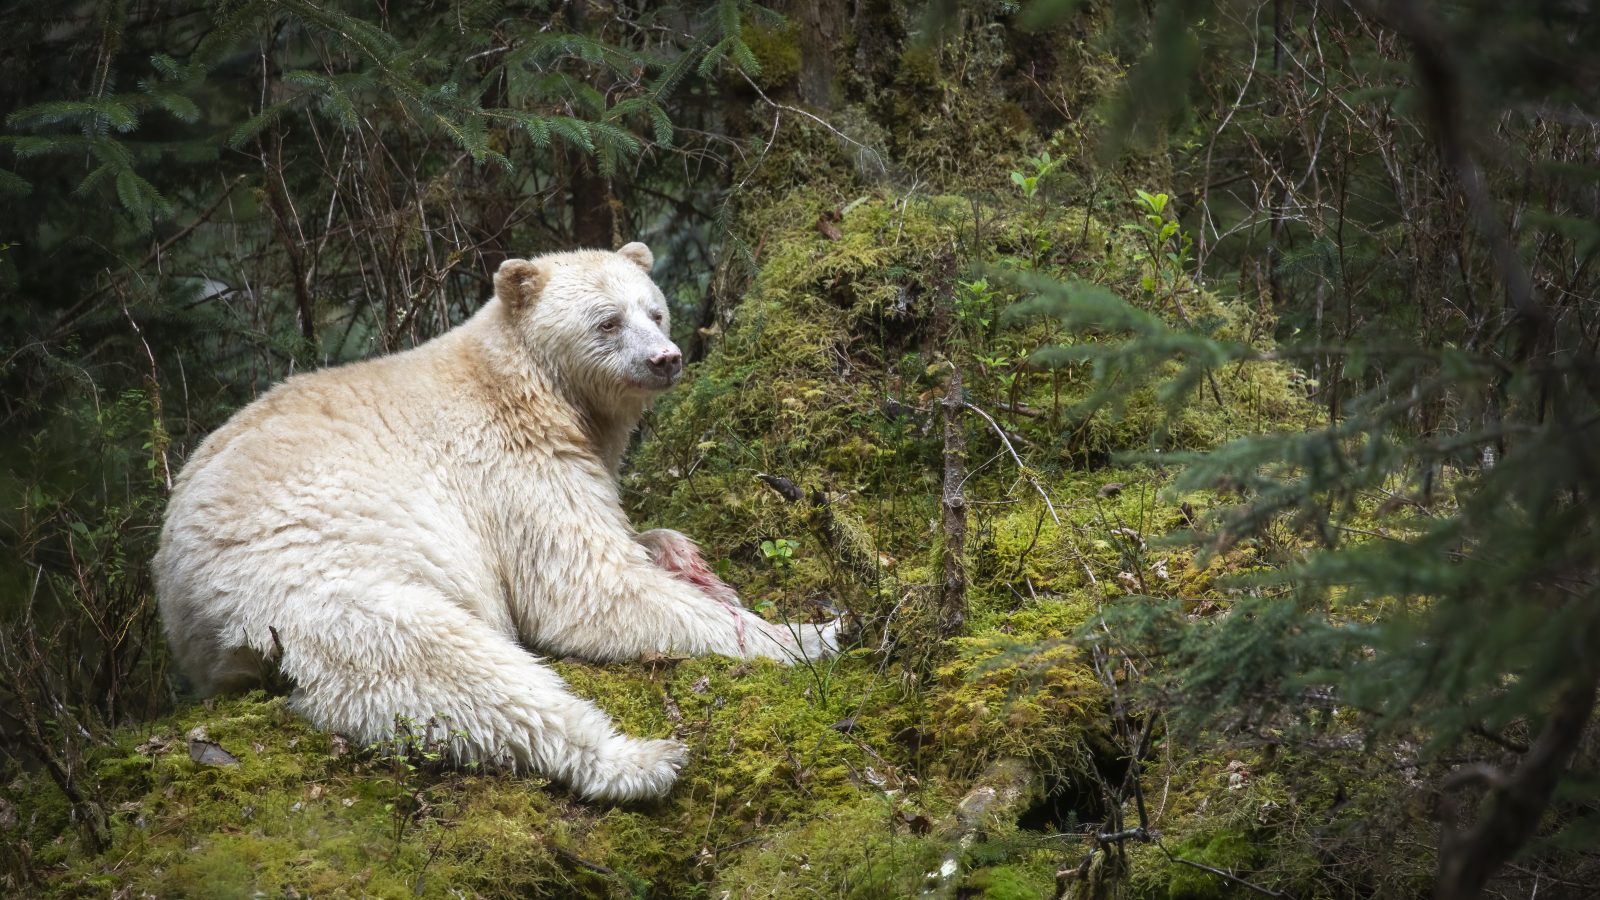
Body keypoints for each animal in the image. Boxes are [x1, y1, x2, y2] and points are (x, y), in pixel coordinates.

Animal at [156, 240, 844, 797]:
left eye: (654, 310)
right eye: (608, 320)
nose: (667, 358)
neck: (530, 383)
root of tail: (181, 603)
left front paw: (689, 559)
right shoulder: (508, 468)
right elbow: (583, 586)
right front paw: (806, 634)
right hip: (317, 584)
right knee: (452, 668)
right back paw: (637, 760)